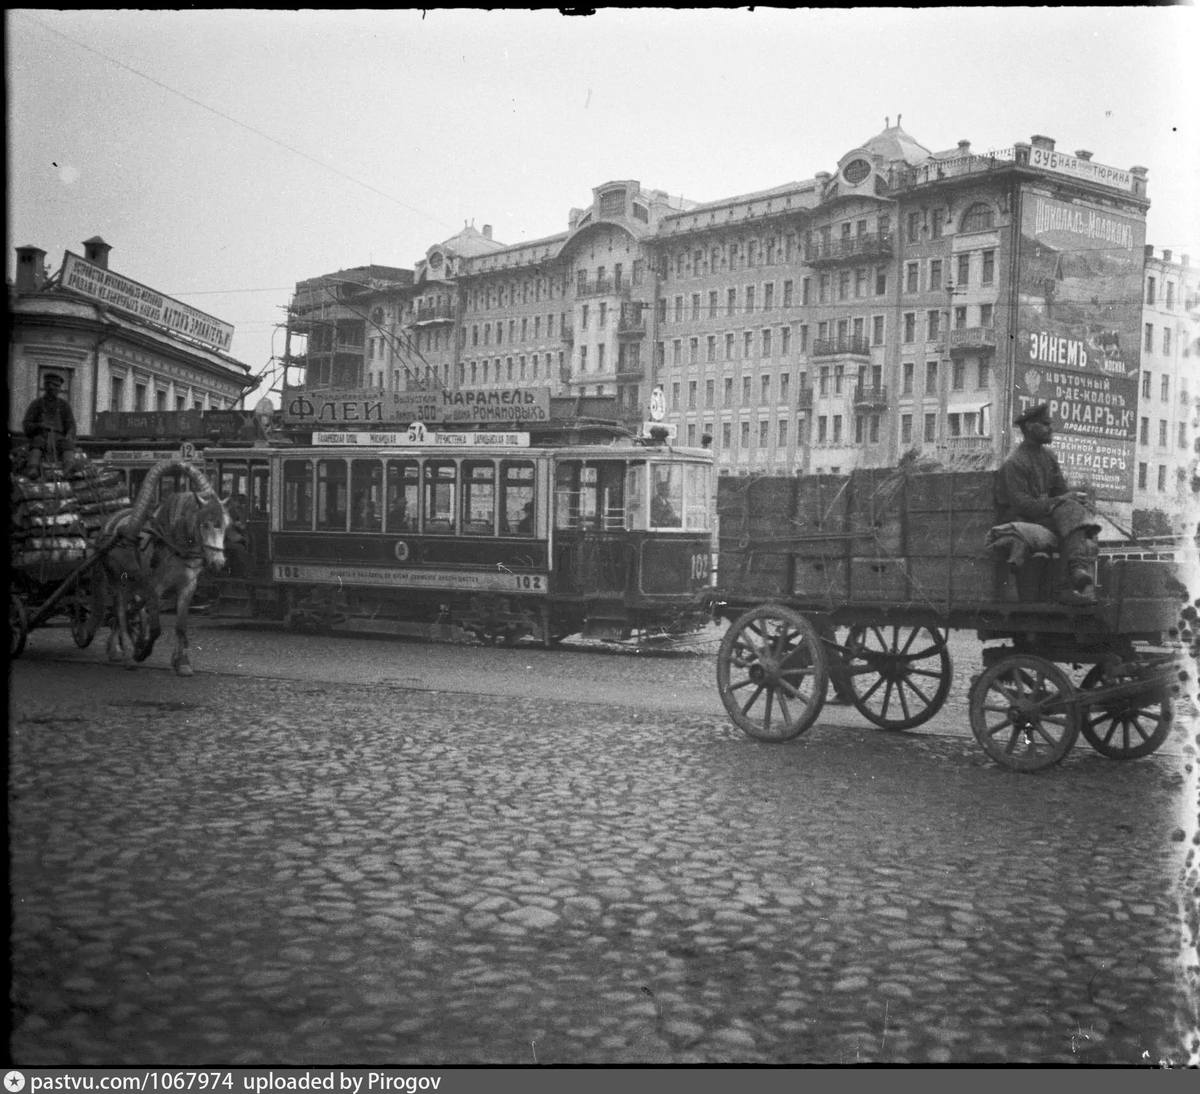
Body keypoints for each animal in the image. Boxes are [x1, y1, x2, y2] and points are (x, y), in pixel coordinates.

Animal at [99, 489, 232, 676]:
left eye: (226, 526)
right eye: (204, 525)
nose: (218, 562)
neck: (173, 543)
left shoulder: (188, 585)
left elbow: (181, 626)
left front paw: (182, 662)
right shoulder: (154, 588)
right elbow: (155, 627)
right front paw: (142, 652)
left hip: (132, 583)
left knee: (125, 612)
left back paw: (117, 649)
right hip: (118, 581)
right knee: (120, 613)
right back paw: (127, 654)